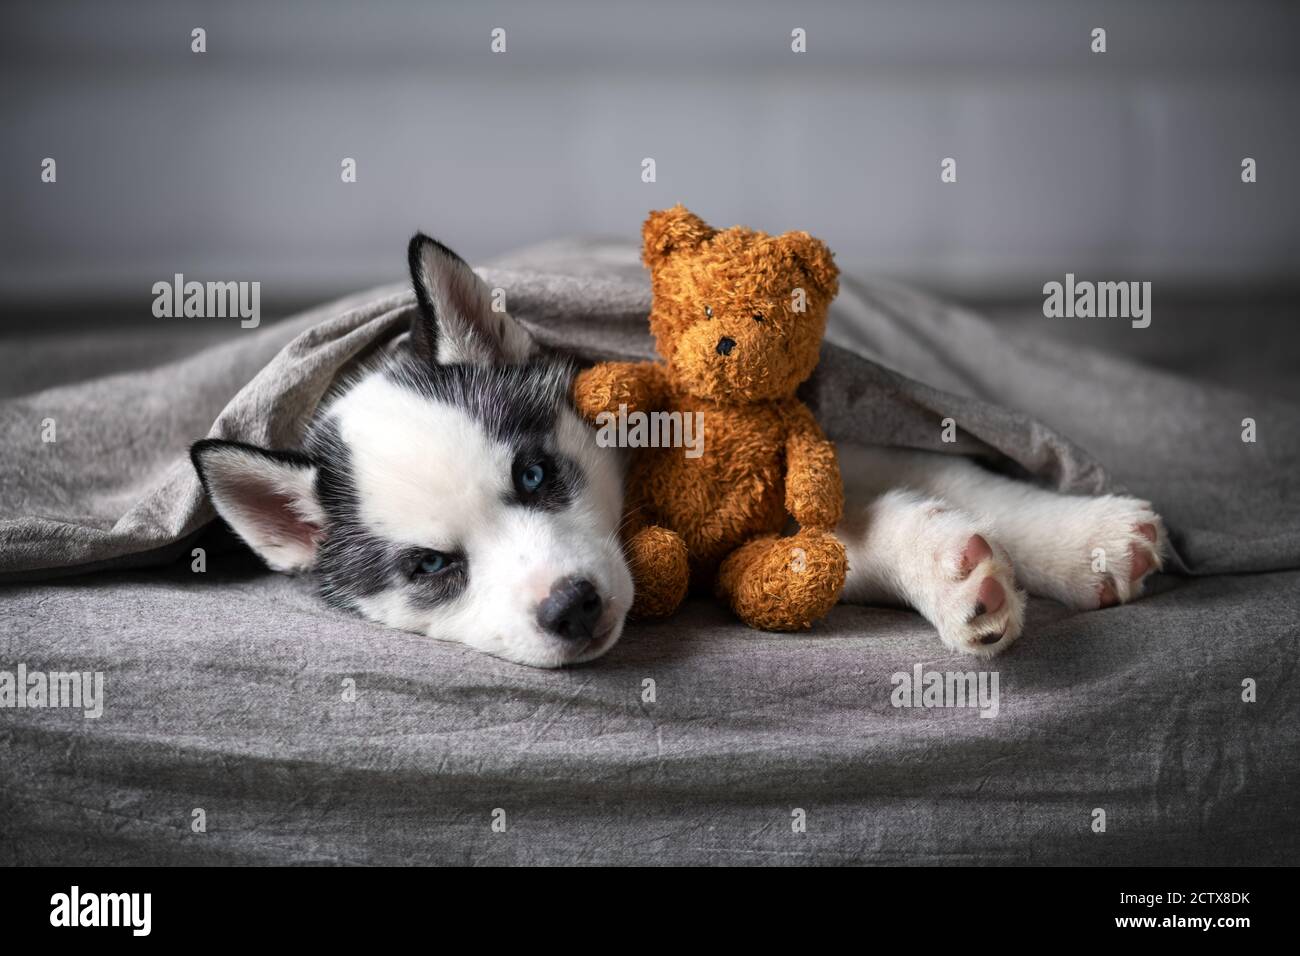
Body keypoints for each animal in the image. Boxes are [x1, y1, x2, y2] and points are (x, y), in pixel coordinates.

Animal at [192, 234, 1170, 665]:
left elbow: (956, 474)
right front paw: (954, 571)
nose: (573, 608)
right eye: (432, 568)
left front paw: (1083, 542)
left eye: (535, 474)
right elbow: (840, 548)